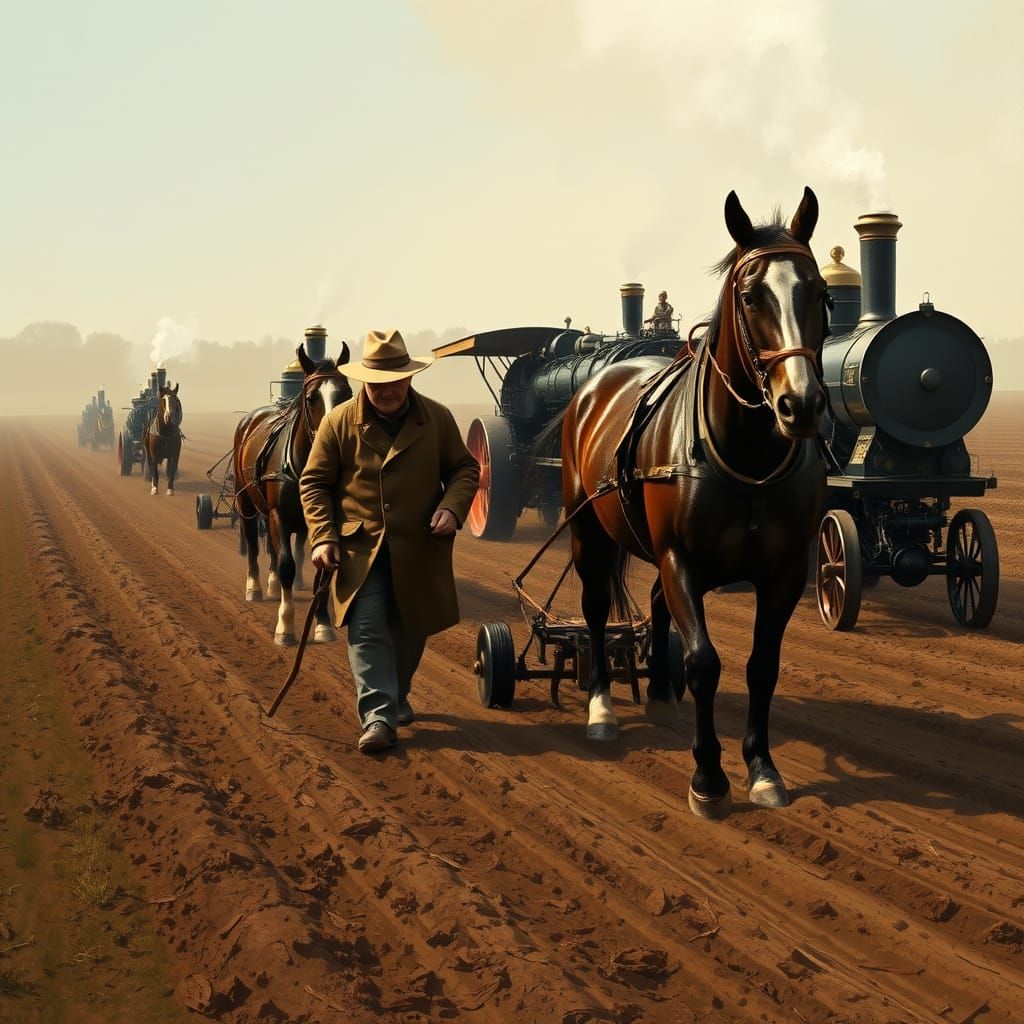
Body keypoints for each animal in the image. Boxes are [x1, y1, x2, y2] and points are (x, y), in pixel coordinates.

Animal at [233, 344, 352, 646]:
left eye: (347, 394)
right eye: (311, 398)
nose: (334, 440)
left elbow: (322, 572)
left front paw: (323, 624)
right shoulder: (280, 515)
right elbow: (287, 563)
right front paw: (285, 627)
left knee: (275, 549)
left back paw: (273, 585)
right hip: (246, 502)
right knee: (253, 543)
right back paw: (255, 587)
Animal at [561, 187, 829, 820]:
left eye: (819, 292)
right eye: (751, 295)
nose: (801, 404)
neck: (747, 456)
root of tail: (593, 383)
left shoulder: (783, 571)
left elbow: (762, 665)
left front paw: (762, 768)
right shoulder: (679, 556)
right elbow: (704, 661)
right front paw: (707, 777)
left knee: (659, 606)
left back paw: (660, 693)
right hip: (588, 532)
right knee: (592, 610)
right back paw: (602, 707)